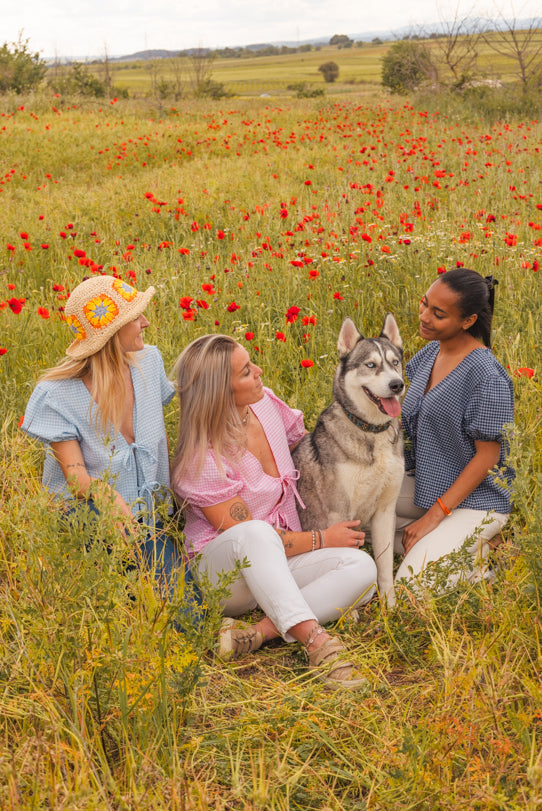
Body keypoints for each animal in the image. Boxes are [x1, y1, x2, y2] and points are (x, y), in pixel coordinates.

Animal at [294, 314, 404, 604]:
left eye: (395, 362)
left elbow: (384, 565)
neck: (371, 431)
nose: (396, 384)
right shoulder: (339, 516)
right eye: (371, 365)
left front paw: (390, 605)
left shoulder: (385, 511)